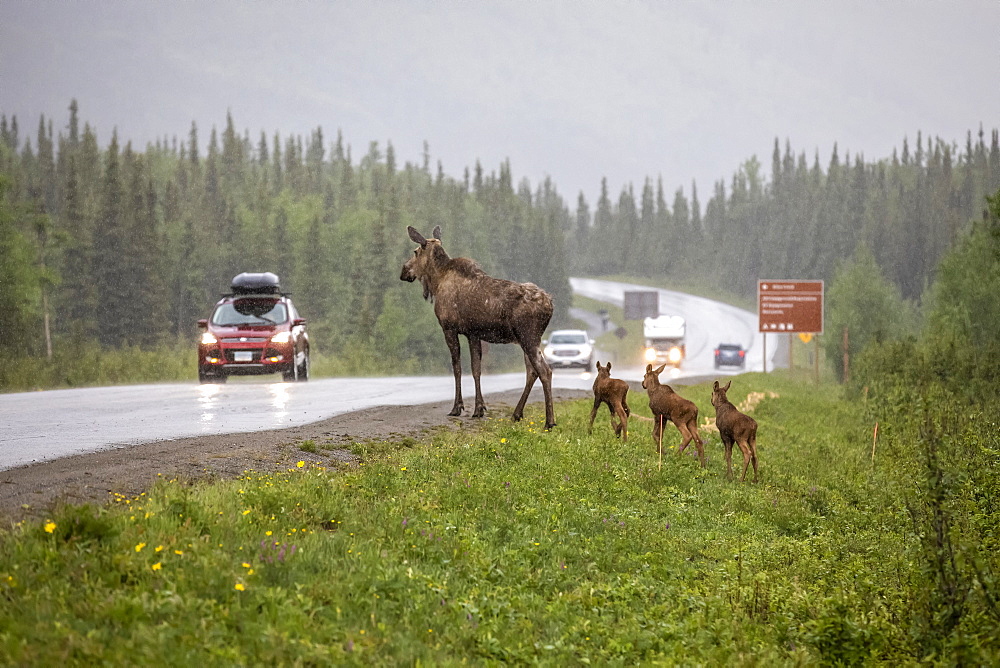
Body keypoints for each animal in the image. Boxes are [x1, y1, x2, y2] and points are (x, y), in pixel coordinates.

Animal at [400, 227, 560, 428]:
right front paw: (479, 408)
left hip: (528, 337)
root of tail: (550, 305)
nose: (403, 271)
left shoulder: (449, 328)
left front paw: (457, 407)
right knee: (532, 371)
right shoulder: (473, 333)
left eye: (415, 252)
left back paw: (549, 422)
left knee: (544, 371)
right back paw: (517, 414)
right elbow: (476, 369)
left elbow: (457, 367)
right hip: (528, 340)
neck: (436, 282)